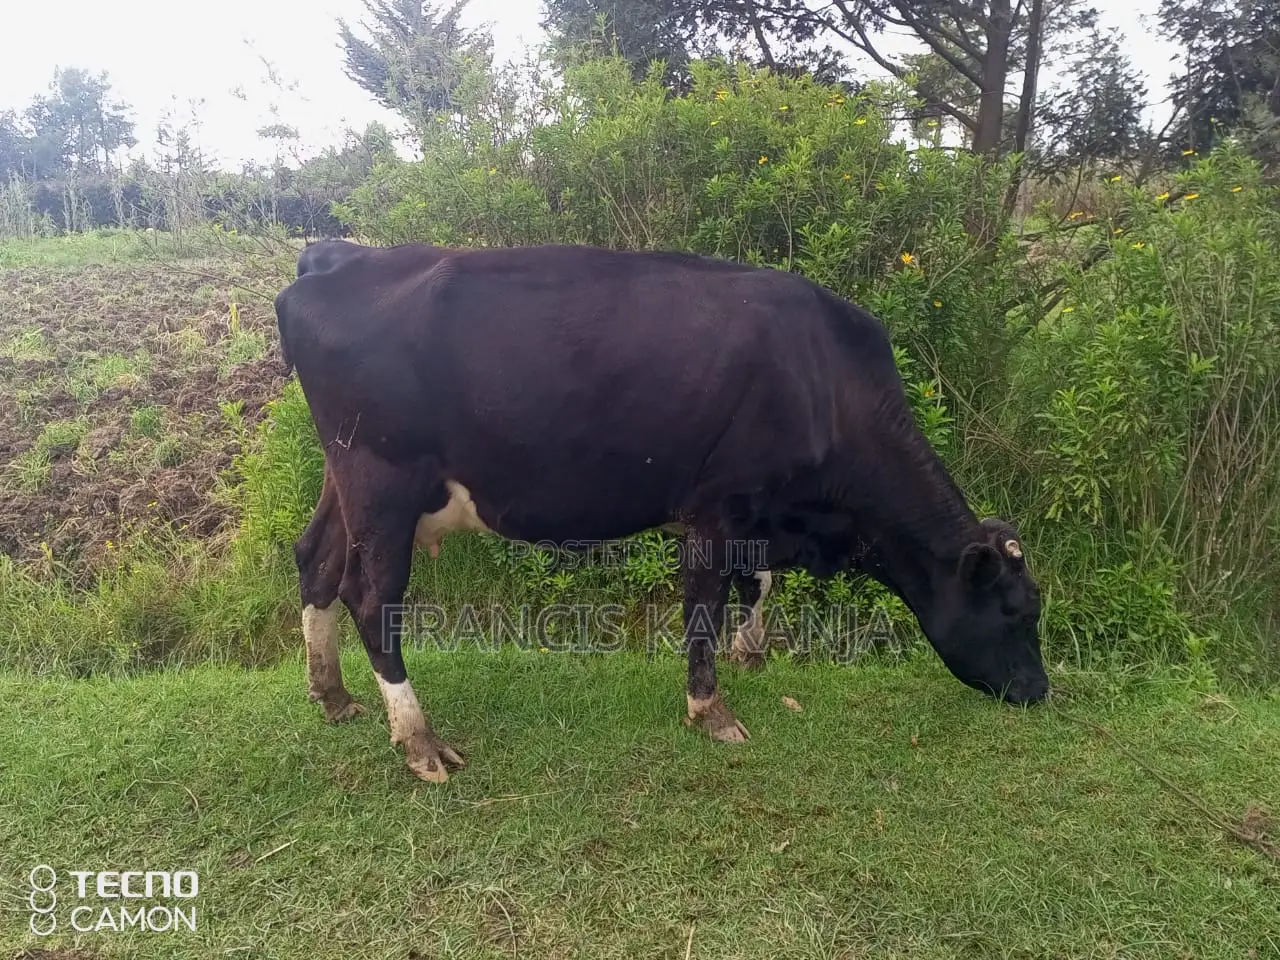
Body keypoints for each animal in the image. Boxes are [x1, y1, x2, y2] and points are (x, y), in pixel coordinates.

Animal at [273, 239, 1048, 783]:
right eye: (1016, 613)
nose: (1040, 691)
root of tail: (340, 256)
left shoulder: (754, 517)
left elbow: (756, 584)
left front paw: (750, 654)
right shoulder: (716, 507)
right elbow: (705, 605)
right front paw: (711, 710)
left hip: (344, 478)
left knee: (315, 561)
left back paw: (332, 695)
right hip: (382, 476)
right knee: (370, 593)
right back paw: (419, 740)